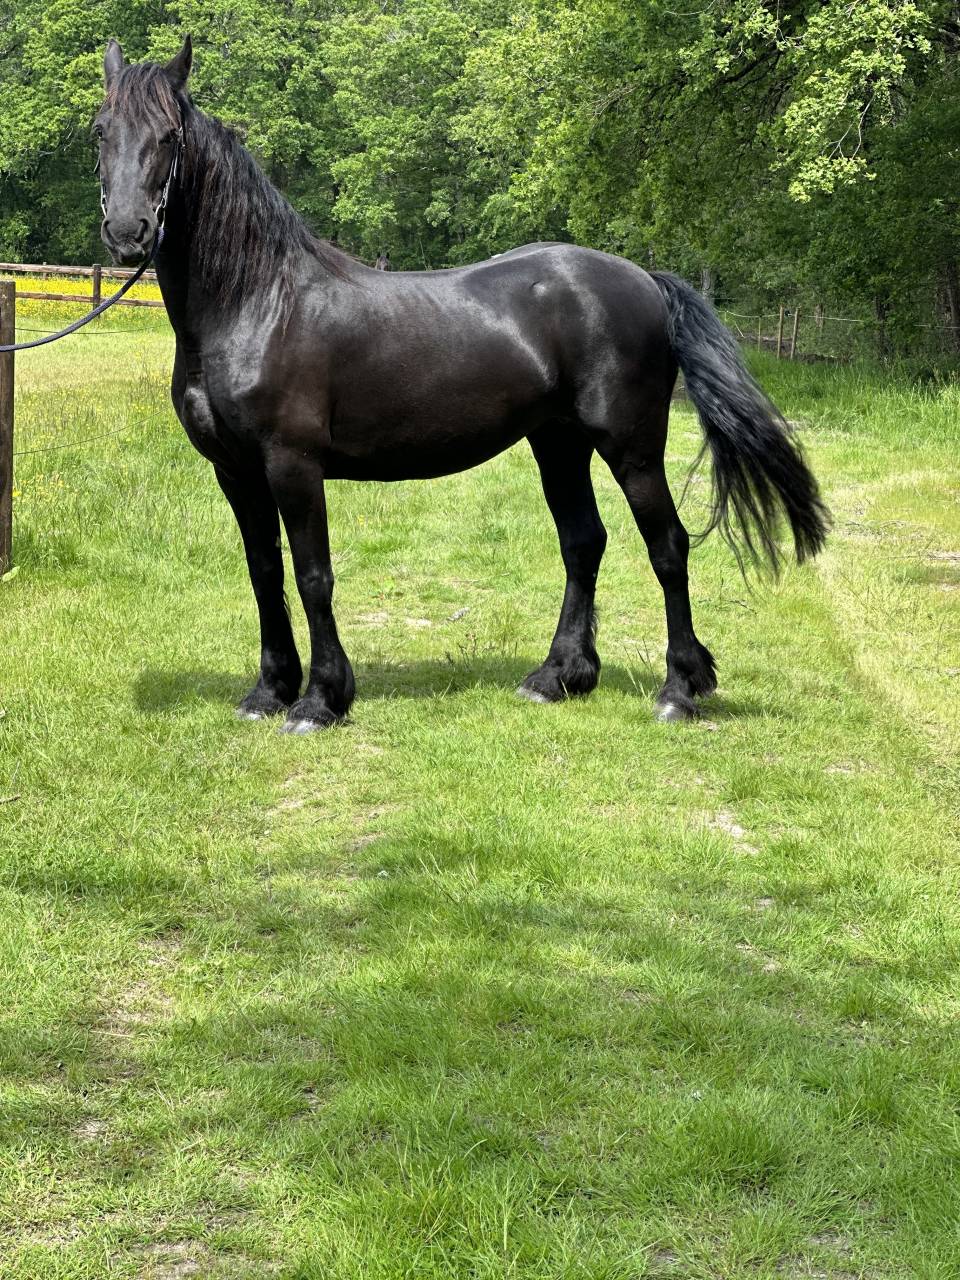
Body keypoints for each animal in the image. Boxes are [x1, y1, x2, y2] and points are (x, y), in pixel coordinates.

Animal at [95, 36, 829, 733]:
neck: (259, 303)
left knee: (667, 546)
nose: (128, 232)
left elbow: (313, 575)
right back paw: (558, 677)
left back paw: (679, 690)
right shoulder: (235, 469)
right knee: (583, 542)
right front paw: (269, 692)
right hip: (558, 443)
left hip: (632, 448)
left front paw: (320, 701)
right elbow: (264, 572)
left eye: (169, 136)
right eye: (101, 130)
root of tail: (645, 278)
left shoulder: (292, 464)